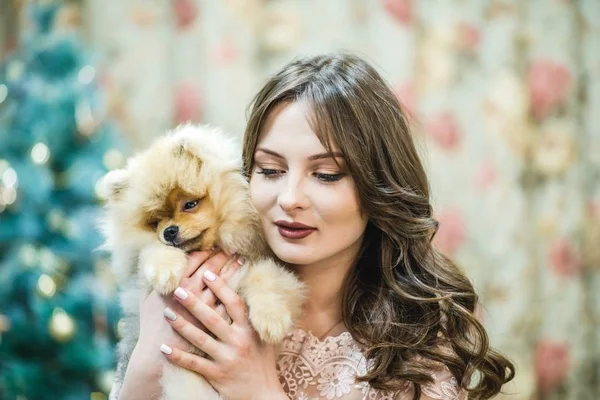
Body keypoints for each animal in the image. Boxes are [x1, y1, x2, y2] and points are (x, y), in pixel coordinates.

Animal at [100, 123, 304, 398]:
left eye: (190, 204)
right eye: (155, 222)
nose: (169, 231)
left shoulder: (249, 269)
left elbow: (267, 277)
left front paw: (271, 319)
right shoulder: (140, 276)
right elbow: (151, 250)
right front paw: (166, 271)